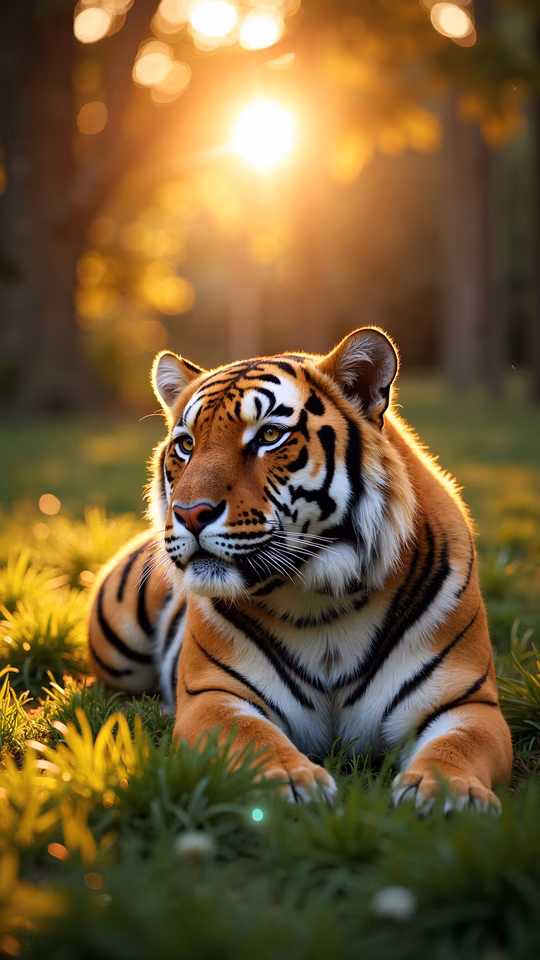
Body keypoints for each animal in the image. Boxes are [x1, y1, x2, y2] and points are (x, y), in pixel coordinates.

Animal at [88, 327, 512, 811]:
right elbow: (250, 736)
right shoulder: (214, 694)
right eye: (187, 444)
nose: (190, 514)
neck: (323, 601)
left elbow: (458, 745)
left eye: (269, 435)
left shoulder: (468, 702)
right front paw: (290, 781)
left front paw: (447, 794)